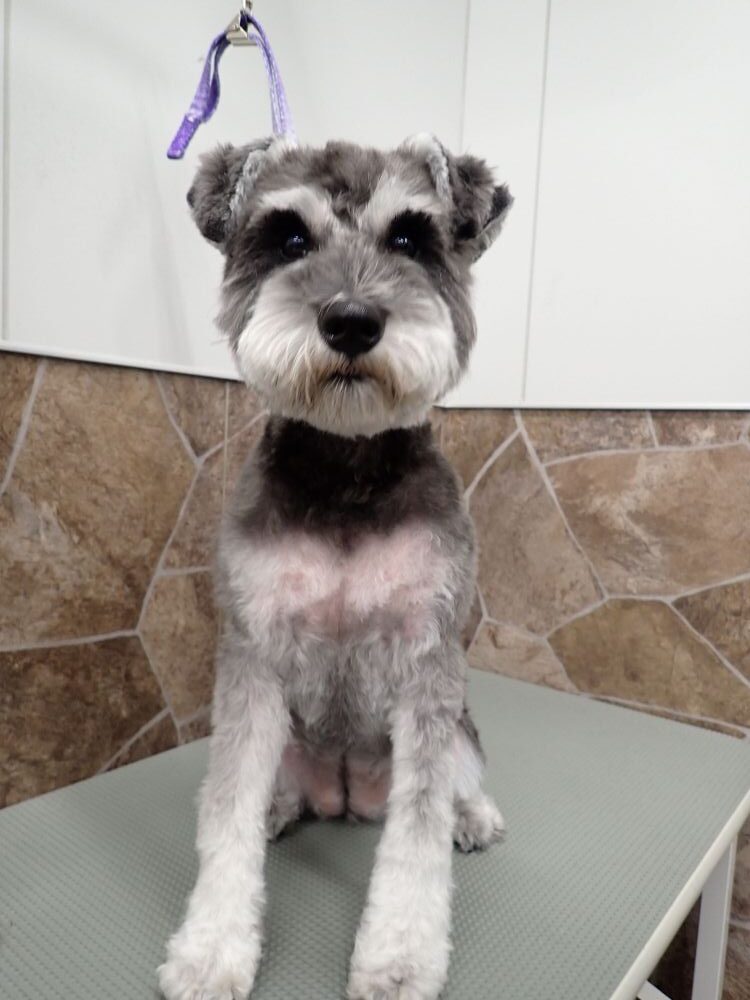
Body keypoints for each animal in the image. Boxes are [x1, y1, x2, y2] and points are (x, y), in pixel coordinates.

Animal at [158, 133, 511, 1000]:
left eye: (411, 238)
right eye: (288, 237)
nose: (350, 321)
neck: (349, 466)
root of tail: (347, 793)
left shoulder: (429, 663)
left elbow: (418, 828)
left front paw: (399, 957)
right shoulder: (251, 656)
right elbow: (226, 814)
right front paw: (211, 949)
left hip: (461, 728)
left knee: (454, 782)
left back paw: (472, 817)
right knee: (253, 789)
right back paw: (279, 808)